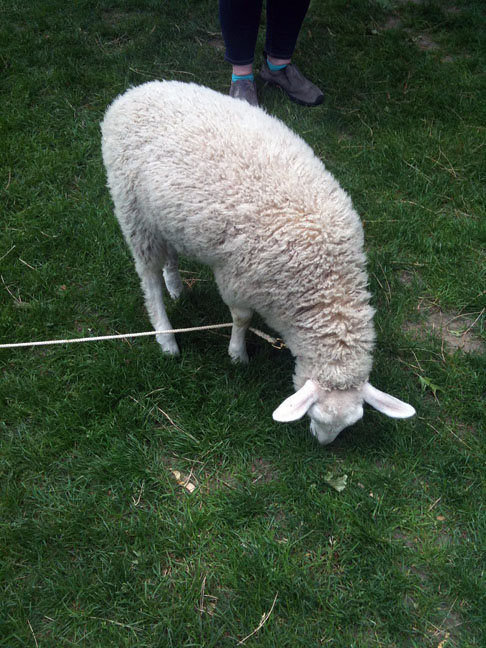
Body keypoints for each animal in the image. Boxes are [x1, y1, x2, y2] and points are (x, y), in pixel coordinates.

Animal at [101, 80, 415, 445]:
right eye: (315, 416)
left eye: (351, 423)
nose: (323, 445)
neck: (325, 279)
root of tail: (133, 93)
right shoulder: (238, 277)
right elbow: (242, 318)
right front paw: (238, 355)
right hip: (133, 209)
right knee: (148, 277)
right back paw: (166, 337)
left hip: (166, 216)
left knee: (170, 257)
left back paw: (176, 286)